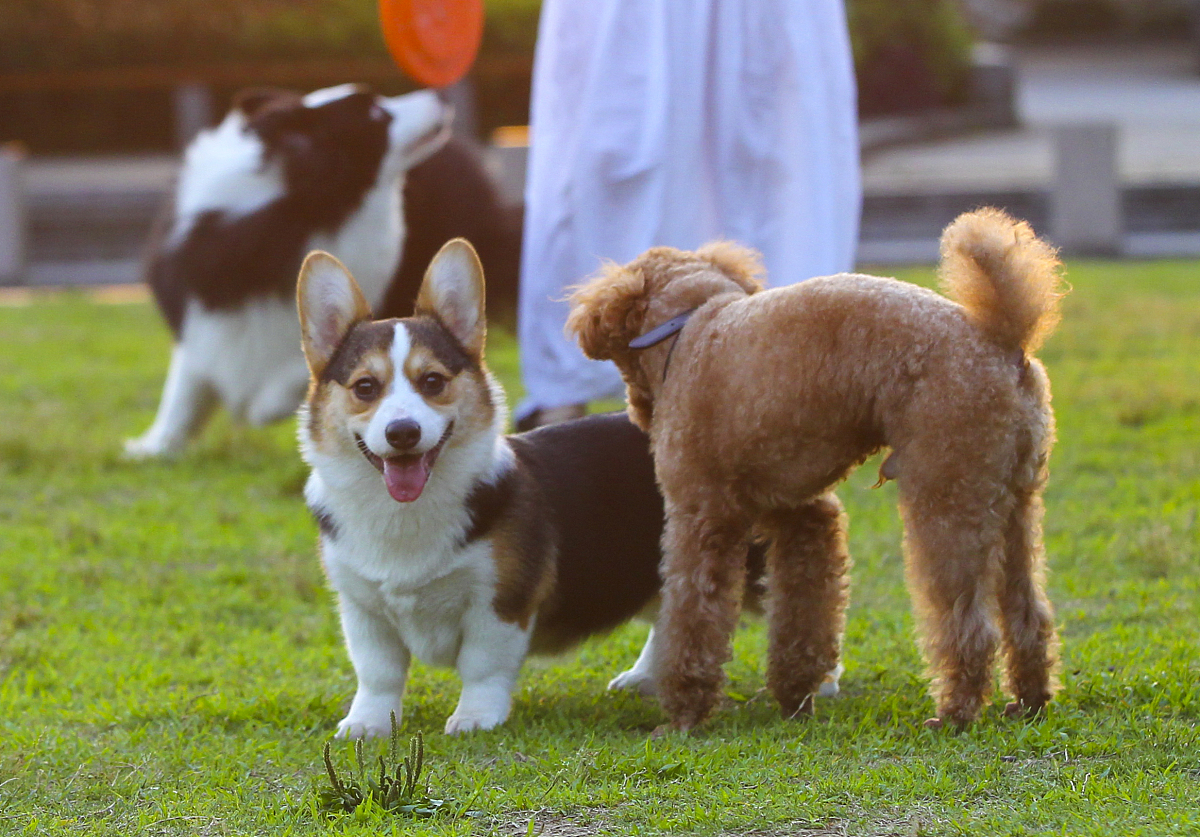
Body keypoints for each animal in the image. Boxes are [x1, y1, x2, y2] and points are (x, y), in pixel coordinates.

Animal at [566, 208, 1065, 729]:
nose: (637, 416)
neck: (693, 323)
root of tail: (1002, 339)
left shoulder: (701, 519)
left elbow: (693, 613)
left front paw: (685, 710)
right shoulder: (804, 515)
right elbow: (804, 610)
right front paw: (795, 693)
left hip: (948, 493)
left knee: (967, 621)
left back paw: (955, 712)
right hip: (1014, 499)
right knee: (1027, 609)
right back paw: (1029, 700)